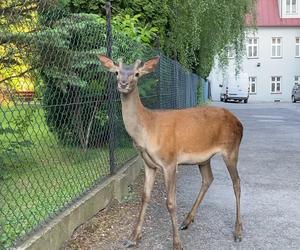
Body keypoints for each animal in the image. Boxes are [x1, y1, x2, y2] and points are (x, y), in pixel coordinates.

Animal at [98, 55, 244, 250]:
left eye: (136, 74)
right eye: (116, 72)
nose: (123, 83)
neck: (147, 130)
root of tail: (240, 123)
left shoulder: (169, 161)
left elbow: (170, 202)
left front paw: (177, 243)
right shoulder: (149, 164)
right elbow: (144, 197)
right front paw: (133, 238)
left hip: (231, 149)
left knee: (237, 183)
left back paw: (238, 231)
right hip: (204, 158)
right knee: (208, 179)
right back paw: (187, 220)